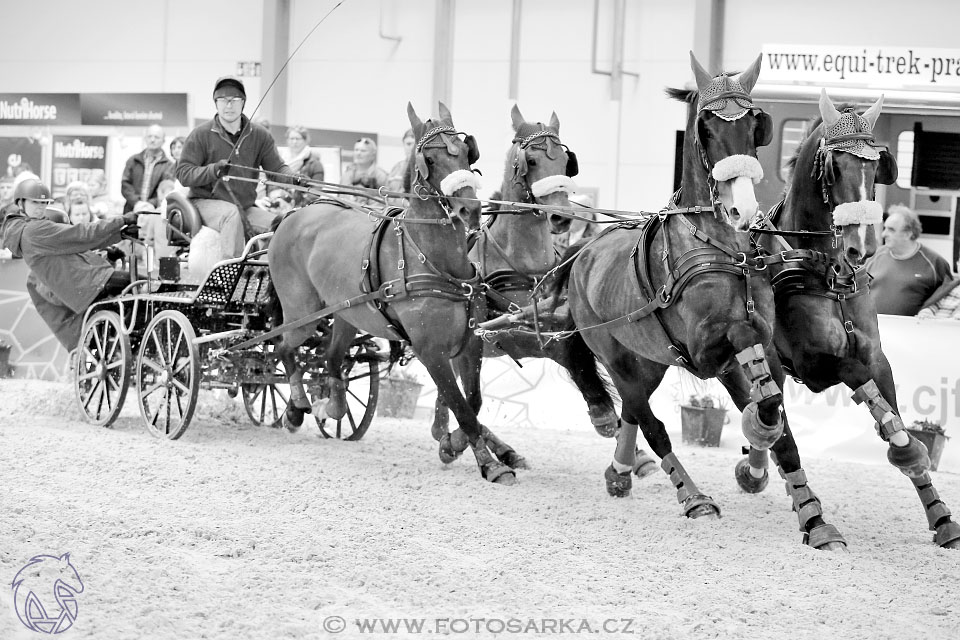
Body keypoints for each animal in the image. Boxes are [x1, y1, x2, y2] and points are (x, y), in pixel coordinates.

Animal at [266, 104, 520, 484]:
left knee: (331, 359)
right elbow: (460, 406)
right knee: (285, 347)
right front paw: (488, 464)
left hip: (346, 315)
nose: (470, 209)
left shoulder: (469, 345)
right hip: (302, 313)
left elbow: (471, 404)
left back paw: (332, 406)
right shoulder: (430, 352)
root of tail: (295, 213)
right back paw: (296, 409)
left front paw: (452, 444)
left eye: (465, 151)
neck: (434, 262)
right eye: (430, 158)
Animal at [428, 106, 636, 470]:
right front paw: (603, 412)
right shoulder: (513, 334)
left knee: (449, 398)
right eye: (533, 161)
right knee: (456, 403)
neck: (523, 264)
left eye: (566, 163)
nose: (561, 217)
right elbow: (567, 353)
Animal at [548, 51, 824, 536]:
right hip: (615, 356)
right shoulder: (706, 351)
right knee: (650, 422)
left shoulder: (765, 343)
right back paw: (693, 497)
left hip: (650, 360)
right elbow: (755, 381)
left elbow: (777, 412)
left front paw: (814, 518)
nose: (742, 209)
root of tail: (584, 251)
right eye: (707, 128)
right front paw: (757, 435)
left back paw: (620, 473)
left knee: (632, 411)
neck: (726, 251)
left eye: (755, 125)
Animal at [744, 89, 960, 552]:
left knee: (768, 414)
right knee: (775, 426)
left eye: (877, 165)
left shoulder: (878, 359)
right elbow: (861, 386)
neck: (830, 272)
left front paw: (940, 514)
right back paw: (814, 518)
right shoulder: (815, 364)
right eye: (836, 166)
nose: (863, 247)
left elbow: (893, 415)